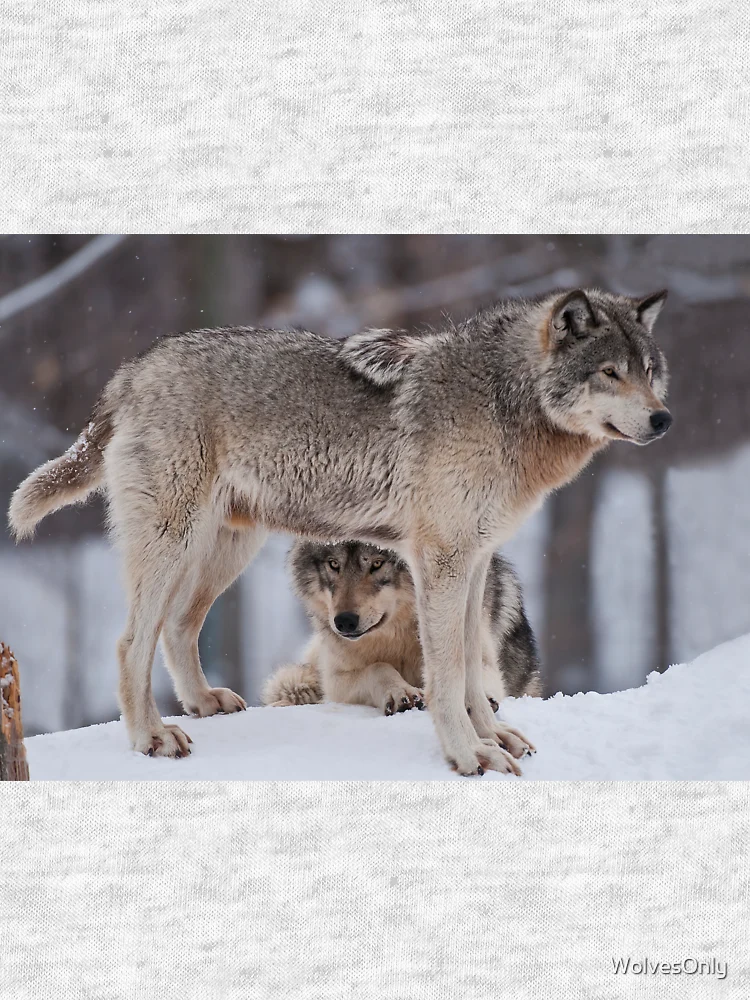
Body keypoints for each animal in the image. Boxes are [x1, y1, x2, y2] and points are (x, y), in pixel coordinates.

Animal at [263, 541, 541, 768]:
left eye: (377, 563)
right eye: (334, 564)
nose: (344, 622)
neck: (396, 635)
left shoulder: (479, 651)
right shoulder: (335, 679)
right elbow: (378, 667)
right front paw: (400, 692)